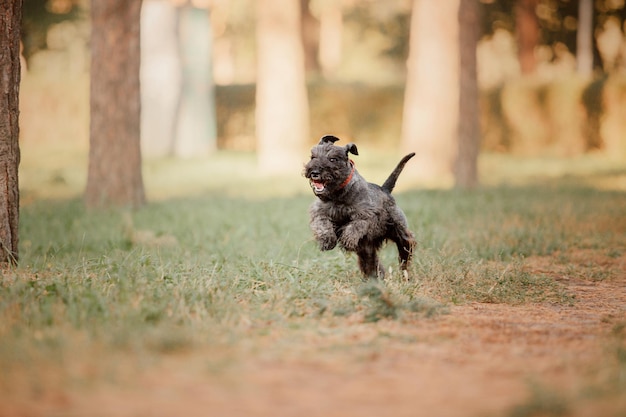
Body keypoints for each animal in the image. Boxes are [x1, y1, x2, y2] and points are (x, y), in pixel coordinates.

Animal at [302, 135, 414, 278]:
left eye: (333, 159)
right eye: (313, 157)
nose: (314, 172)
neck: (338, 194)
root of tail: (385, 189)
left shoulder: (365, 214)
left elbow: (356, 225)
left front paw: (347, 239)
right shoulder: (319, 212)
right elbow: (322, 224)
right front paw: (327, 240)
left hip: (399, 231)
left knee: (406, 247)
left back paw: (404, 273)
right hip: (366, 249)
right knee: (372, 262)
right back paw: (375, 278)